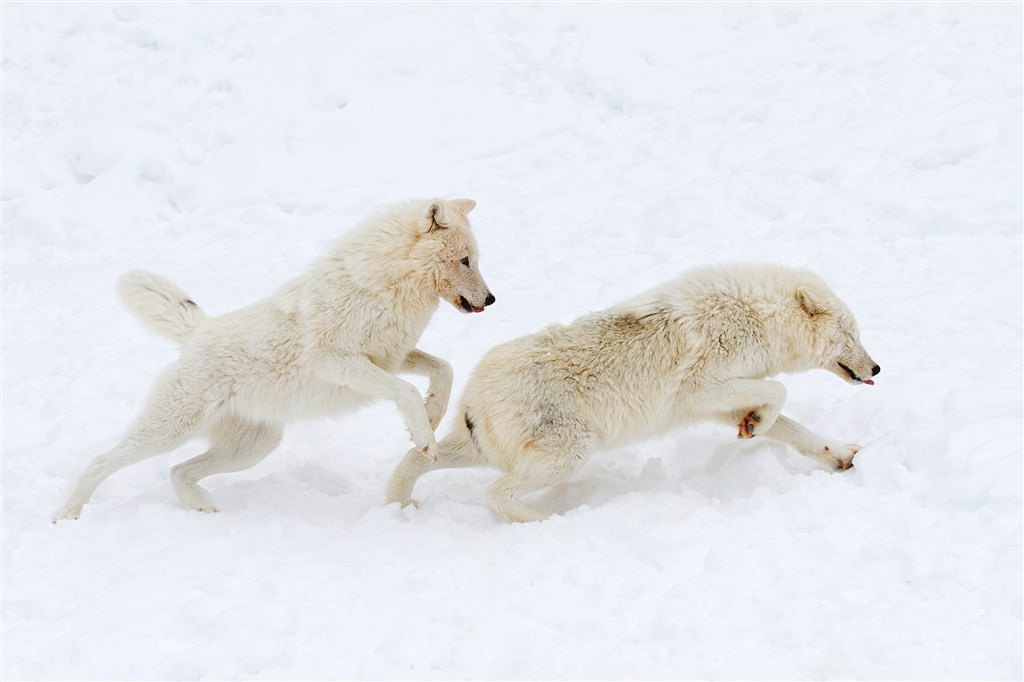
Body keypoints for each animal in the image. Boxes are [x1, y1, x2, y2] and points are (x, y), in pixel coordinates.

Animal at [56, 197, 495, 520]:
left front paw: (433, 415)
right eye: (465, 261)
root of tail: (199, 329)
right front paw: (425, 437)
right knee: (101, 461)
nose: (491, 300)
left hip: (253, 448)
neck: (381, 285)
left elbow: (443, 369)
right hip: (169, 432)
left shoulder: (391, 356)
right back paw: (67, 515)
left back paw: (200, 509)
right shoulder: (341, 363)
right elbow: (405, 391)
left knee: (177, 470)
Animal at [387, 261, 884, 520]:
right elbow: (779, 390)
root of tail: (474, 393)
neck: (758, 316)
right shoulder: (702, 390)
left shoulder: (722, 401)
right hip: (570, 455)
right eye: (851, 335)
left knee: (413, 458)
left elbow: (795, 428)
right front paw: (759, 425)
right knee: (497, 494)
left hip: (478, 450)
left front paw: (837, 455)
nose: (877, 367)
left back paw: (399, 505)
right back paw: (552, 521)